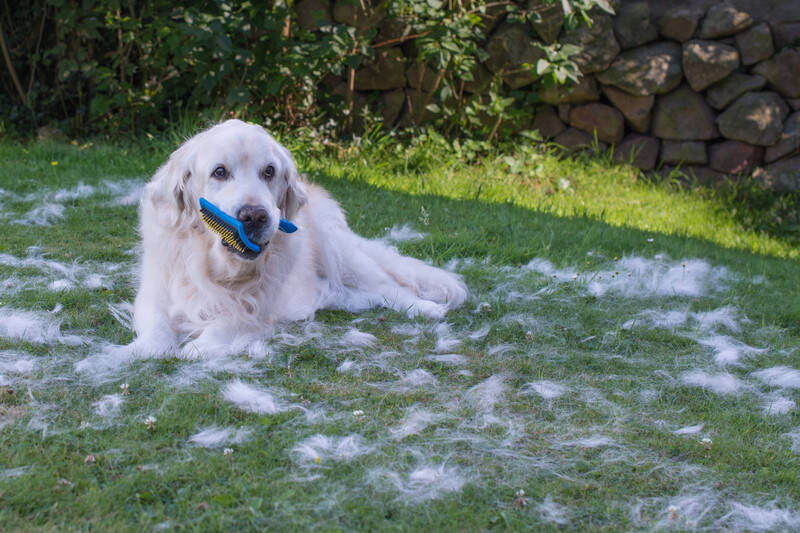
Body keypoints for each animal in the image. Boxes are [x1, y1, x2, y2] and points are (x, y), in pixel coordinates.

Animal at [132, 118, 468, 356]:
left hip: (343, 256)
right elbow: (156, 331)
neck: (218, 266)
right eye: (219, 172)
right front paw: (143, 349)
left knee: (393, 288)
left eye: (269, 171)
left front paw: (197, 345)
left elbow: (228, 323)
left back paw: (428, 308)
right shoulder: (154, 290)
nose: (255, 216)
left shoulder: (259, 306)